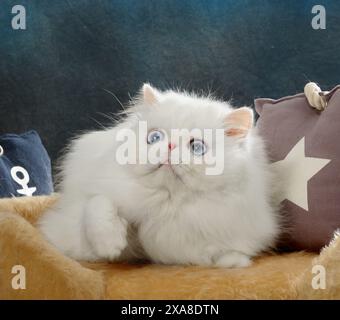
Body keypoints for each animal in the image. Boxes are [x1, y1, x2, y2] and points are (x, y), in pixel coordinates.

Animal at [38, 83, 280, 268]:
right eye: (155, 138)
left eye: (197, 147)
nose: (170, 146)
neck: (164, 203)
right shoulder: (90, 207)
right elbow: (98, 205)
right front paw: (110, 245)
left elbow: (219, 253)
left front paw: (234, 262)